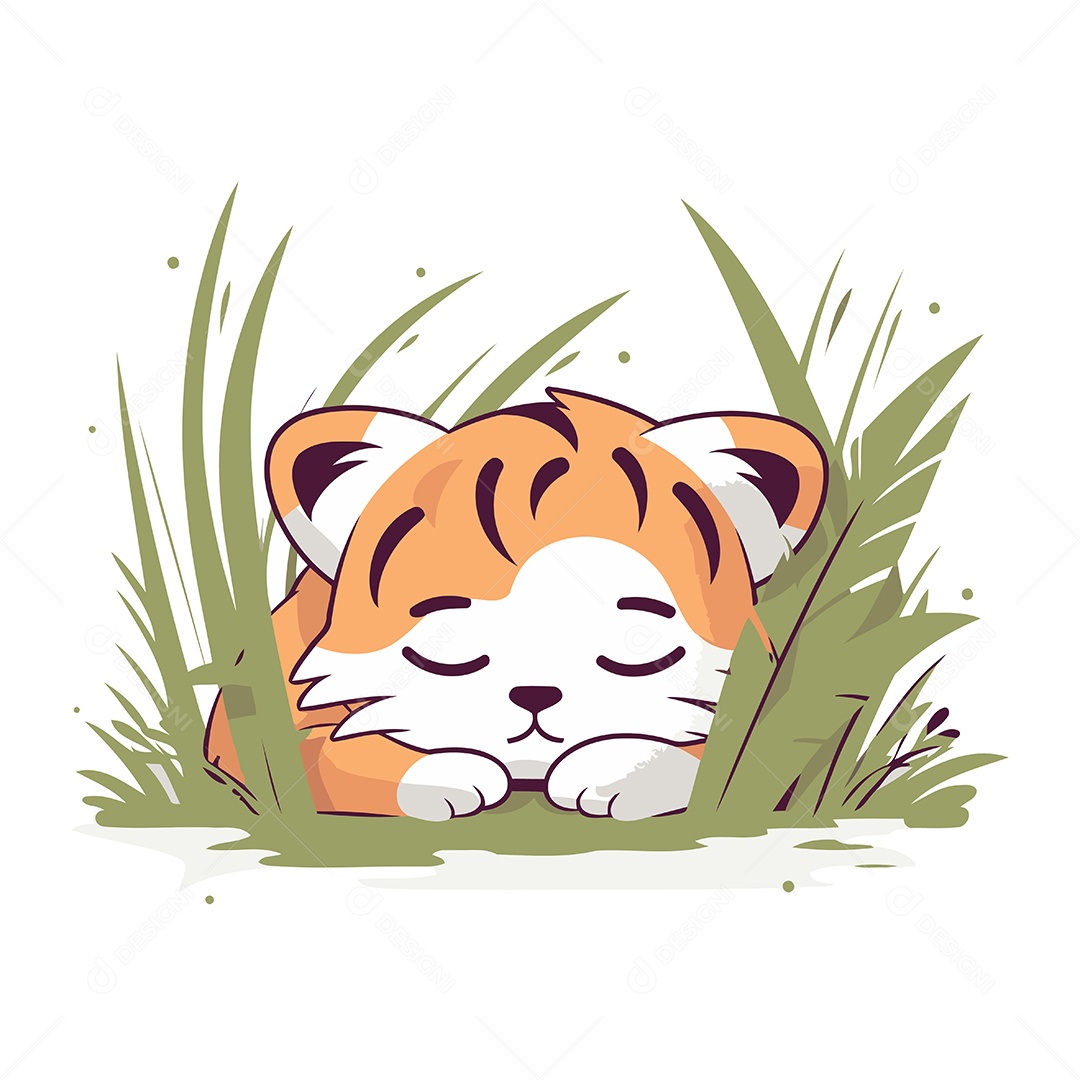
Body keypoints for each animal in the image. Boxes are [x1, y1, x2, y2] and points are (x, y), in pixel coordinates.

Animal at [204, 388, 827, 821]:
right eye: (445, 647)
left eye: (637, 648)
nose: (535, 696)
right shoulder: (255, 725)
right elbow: (321, 754)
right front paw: (447, 770)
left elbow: (731, 755)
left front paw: (614, 768)